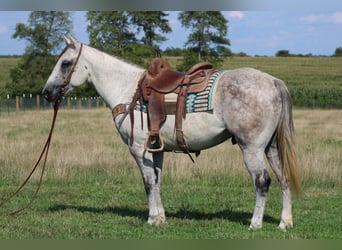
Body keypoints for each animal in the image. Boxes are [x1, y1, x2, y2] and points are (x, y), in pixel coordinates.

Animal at [43, 35, 302, 230]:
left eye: (65, 63)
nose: (46, 92)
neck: (127, 90)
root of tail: (273, 82)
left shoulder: (138, 148)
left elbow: (148, 182)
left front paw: (151, 219)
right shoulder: (156, 149)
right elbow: (157, 181)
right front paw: (160, 217)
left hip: (252, 148)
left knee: (262, 181)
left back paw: (255, 224)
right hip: (271, 147)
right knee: (284, 178)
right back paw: (285, 223)